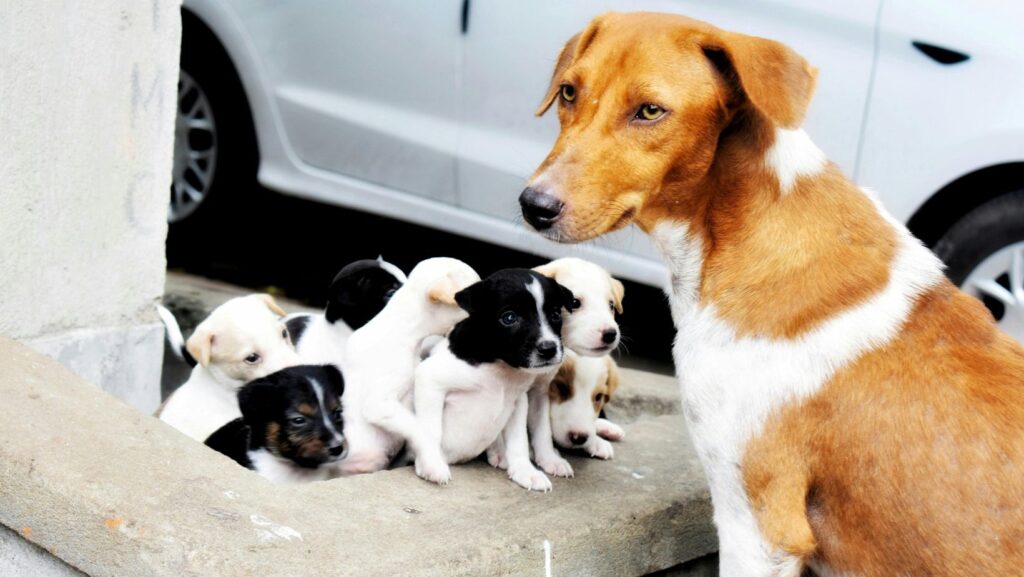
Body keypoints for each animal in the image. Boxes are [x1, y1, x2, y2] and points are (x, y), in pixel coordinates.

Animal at [413, 270, 577, 491]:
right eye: (509, 318)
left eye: (556, 315)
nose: (548, 348)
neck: (499, 365)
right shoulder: (429, 380)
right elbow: (431, 429)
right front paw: (431, 464)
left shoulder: (518, 402)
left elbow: (519, 441)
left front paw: (525, 471)